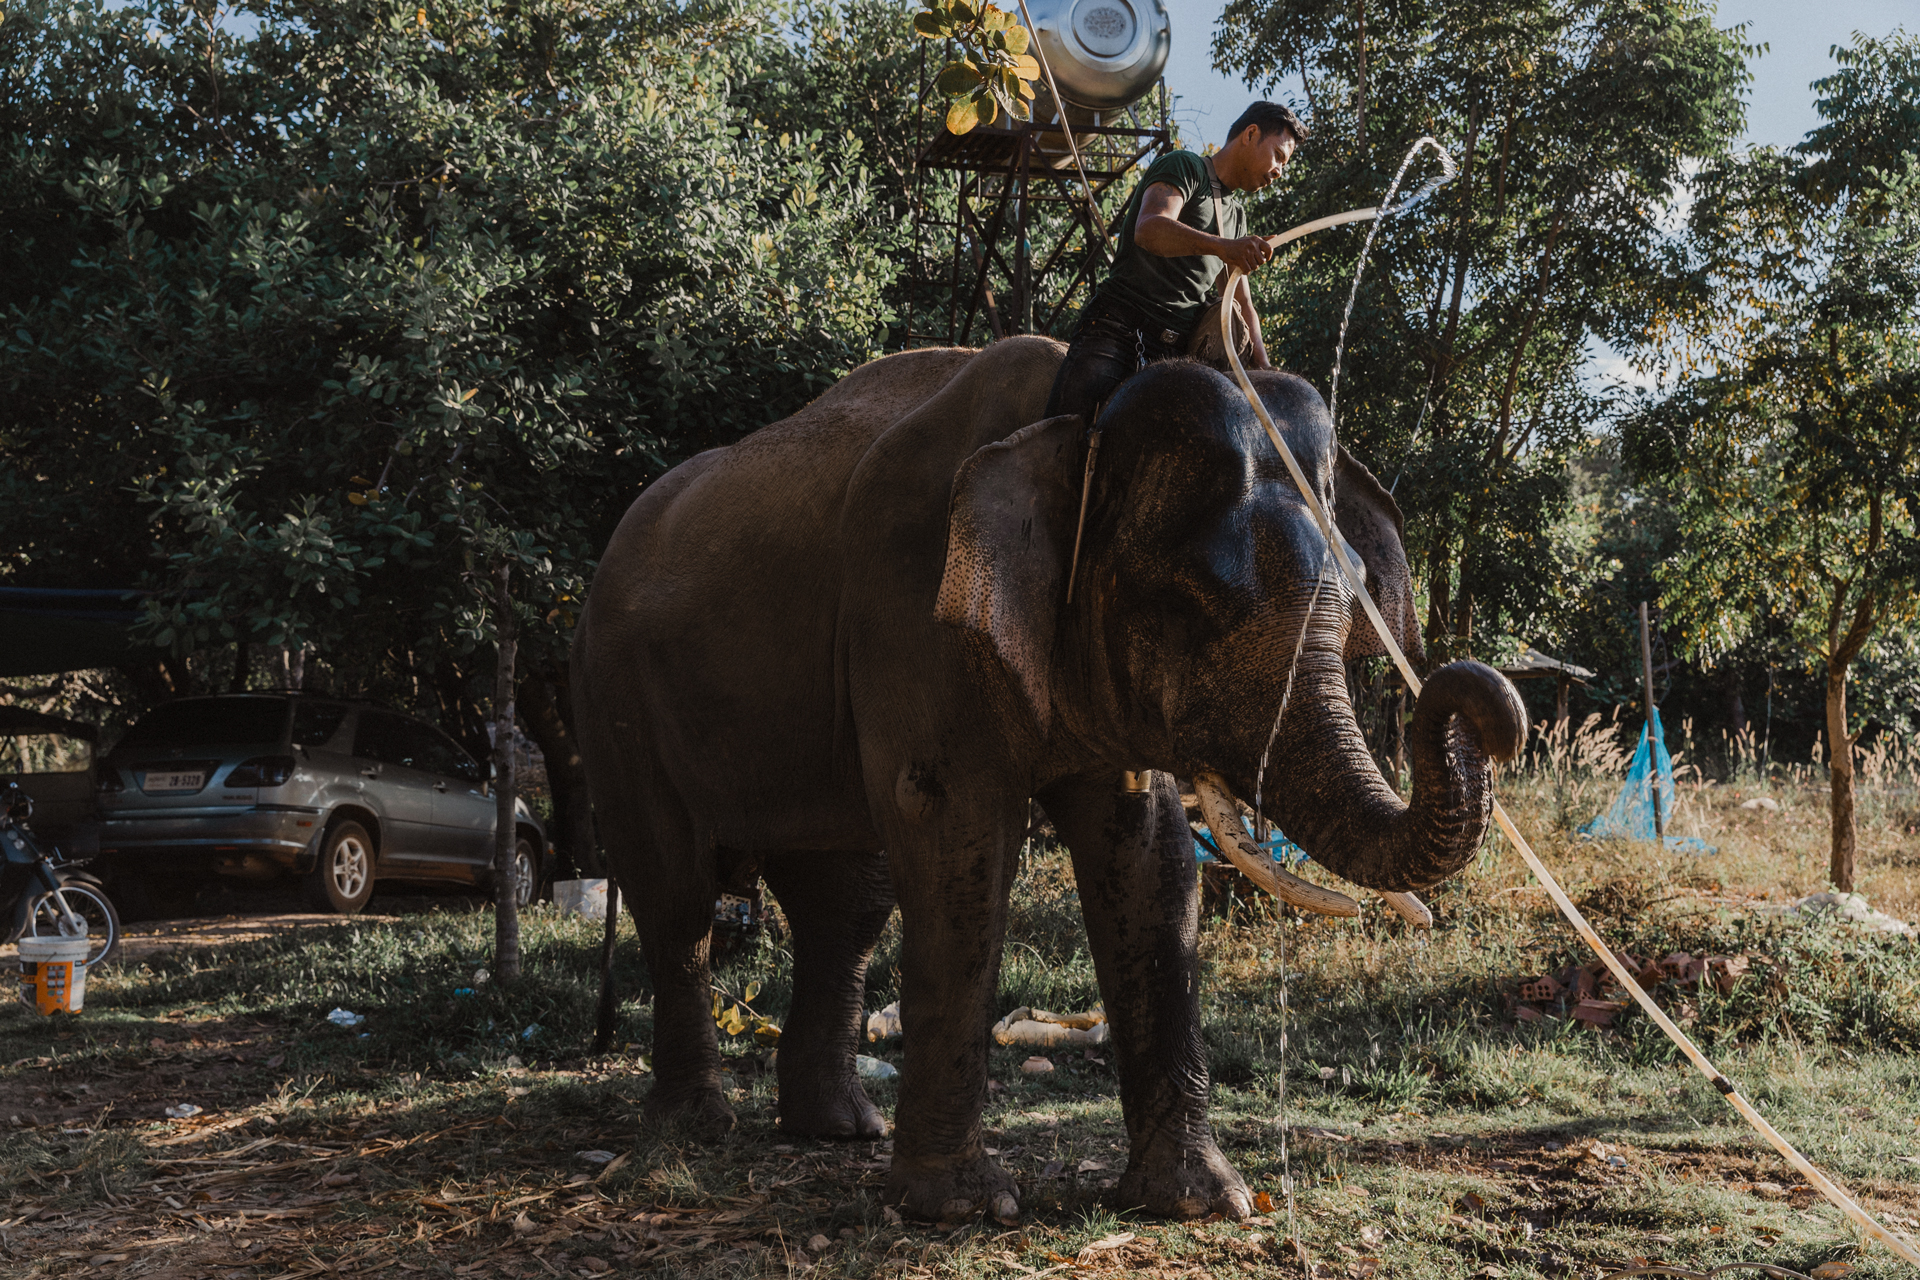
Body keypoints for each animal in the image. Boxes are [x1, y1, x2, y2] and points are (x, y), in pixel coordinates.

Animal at [568, 335, 1512, 1228]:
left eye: (1355, 599)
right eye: (1192, 601)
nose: (1488, 702)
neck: (1076, 415)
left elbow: (1150, 860)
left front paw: (1204, 1203)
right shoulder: (912, 608)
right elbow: (959, 843)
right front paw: (960, 1210)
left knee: (844, 907)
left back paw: (839, 1130)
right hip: (615, 694)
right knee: (678, 898)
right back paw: (697, 1132)